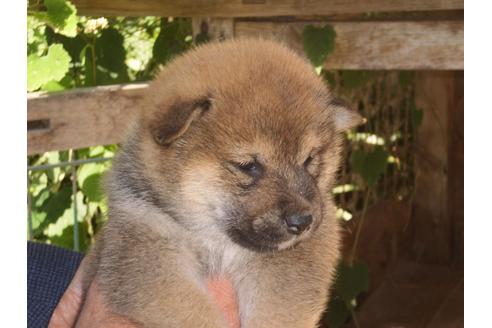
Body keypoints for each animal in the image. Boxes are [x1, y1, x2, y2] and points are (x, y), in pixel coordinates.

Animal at [84, 39, 362, 328]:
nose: (303, 221)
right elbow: (195, 313)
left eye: (309, 159)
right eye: (248, 165)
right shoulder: (145, 254)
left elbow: (276, 312)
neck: (216, 241)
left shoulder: (300, 257)